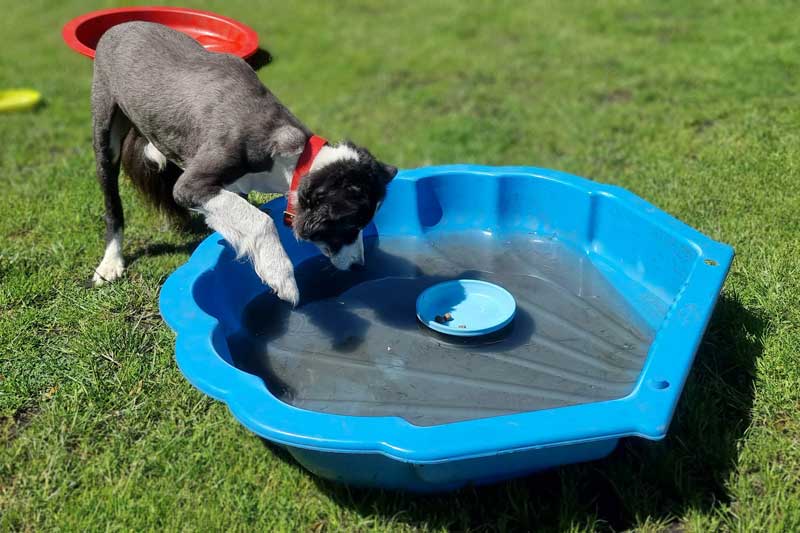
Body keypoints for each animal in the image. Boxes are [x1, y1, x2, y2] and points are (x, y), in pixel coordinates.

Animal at [90, 21, 396, 304]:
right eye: (351, 225)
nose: (359, 267)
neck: (291, 156)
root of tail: (120, 26)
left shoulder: (230, 189)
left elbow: (240, 214)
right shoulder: (190, 185)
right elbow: (260, 220)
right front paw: (281, 276)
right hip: (105, 132)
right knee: (112, 206)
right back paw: (110, 263)